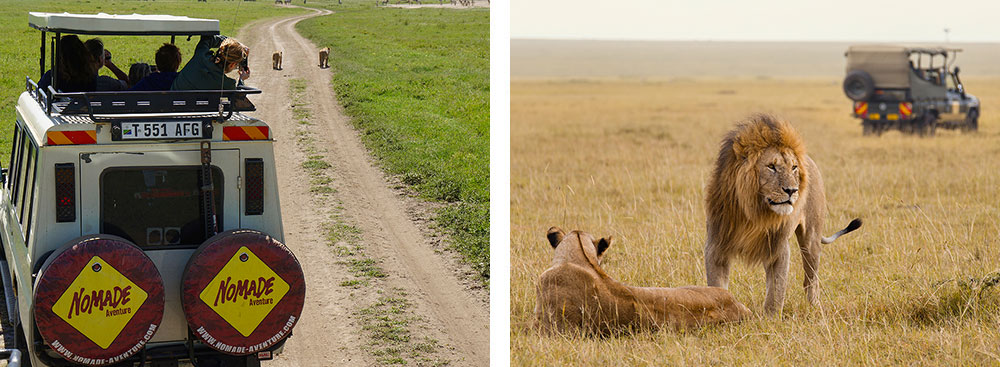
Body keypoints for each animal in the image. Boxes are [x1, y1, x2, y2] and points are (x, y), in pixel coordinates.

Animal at [704, 113, 860, 314]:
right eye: (771, 166)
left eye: (793, 167)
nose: (792, 190)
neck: (753, 213)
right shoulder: (716, 246)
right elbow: (717, 286)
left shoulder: (778, 247)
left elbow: (776, 291)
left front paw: (770, 319)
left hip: (811, 240)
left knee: (811, 279)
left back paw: (815, 308)